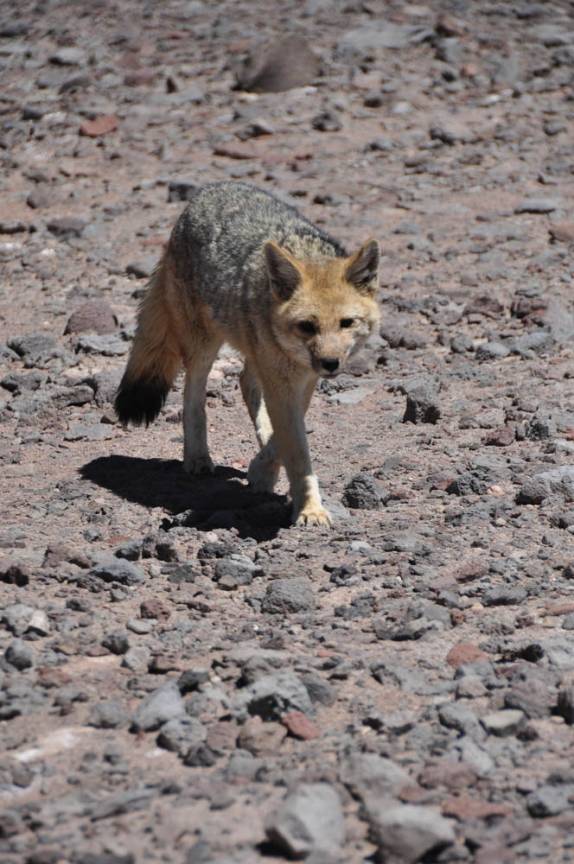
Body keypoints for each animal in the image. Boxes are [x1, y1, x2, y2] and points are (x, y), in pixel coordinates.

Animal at [114, 181, 380, 527]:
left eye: (347, 323)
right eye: (307, 326)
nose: (330, 364)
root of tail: (209, 189)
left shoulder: (302, 380)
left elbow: (285, 436)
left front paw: (263, 471)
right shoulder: (284, 380)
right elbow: (296, 450)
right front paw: (309, 508)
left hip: (255, 353)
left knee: (245, 382)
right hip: (204, 345)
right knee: (193, 397)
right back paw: (197, 456)